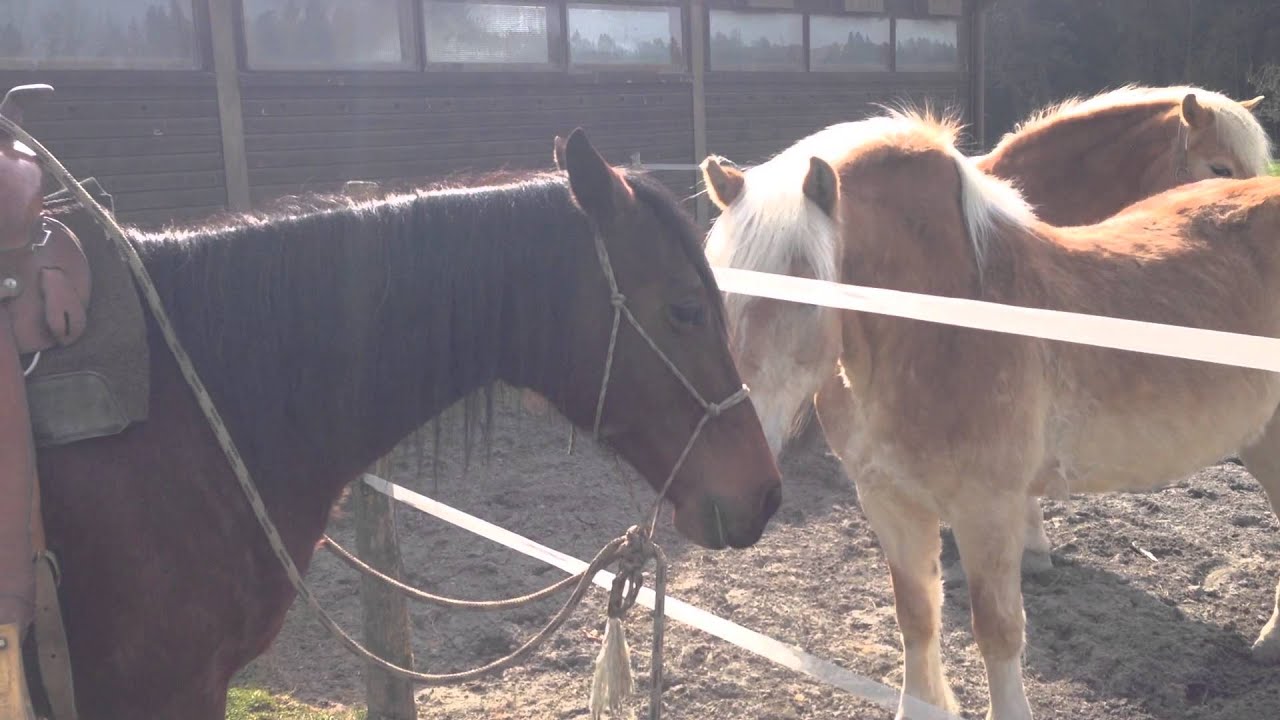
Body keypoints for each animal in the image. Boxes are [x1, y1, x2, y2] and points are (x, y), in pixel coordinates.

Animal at [699, 110, 1280, 719]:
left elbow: (997, 631)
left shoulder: (989, 509)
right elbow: (916, 616)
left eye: (806, 295)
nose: (734, 473)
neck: (940, 332)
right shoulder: (888, 500)